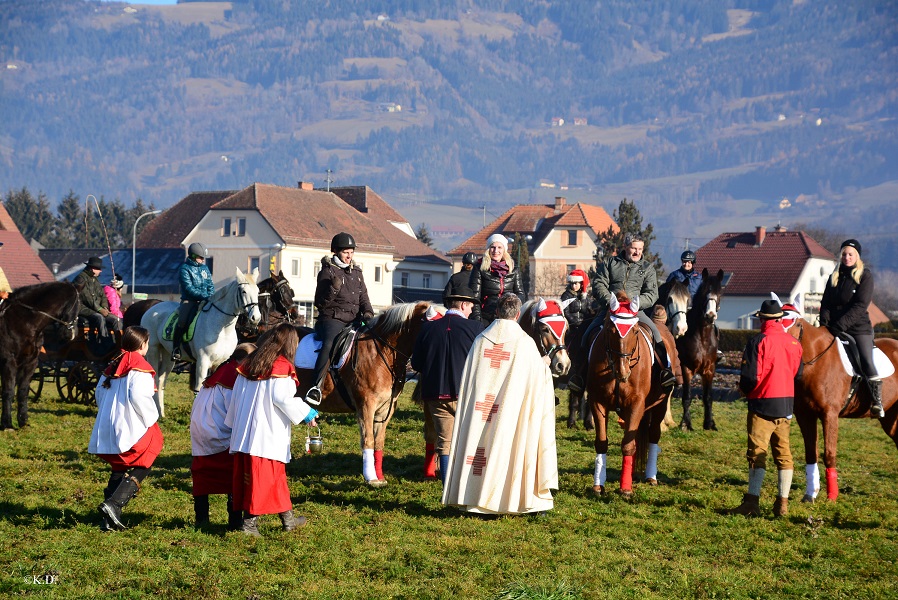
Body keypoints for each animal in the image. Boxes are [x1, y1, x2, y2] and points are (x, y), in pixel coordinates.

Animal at [140, 268, 260, 418]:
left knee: (161, 379)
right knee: (155, 378)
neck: (222, 329)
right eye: (243, 291)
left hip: (168, 356)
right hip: (153, 351)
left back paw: (161, 412)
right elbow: (199, 388)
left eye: (257, 291)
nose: (256, 318)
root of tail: (151, 309)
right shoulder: (203, 361)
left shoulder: (220, 363)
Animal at [294, 302, 430, 486]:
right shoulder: (366, 404)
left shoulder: (385, 408)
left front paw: (379, 476)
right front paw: (371, 477)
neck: (383, 352)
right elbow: (368, 439)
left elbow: (379, 441)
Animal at [584, 292, 668, 496]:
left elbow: (628, 445)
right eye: (610, 330)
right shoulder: (597, 402)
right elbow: (602, 442)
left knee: (654, 434)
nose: (623, 371)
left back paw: (651, 477)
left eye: (635, 331)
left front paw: (625, 488)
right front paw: (598, 485)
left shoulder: (636, 404)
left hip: (661, 404)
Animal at [672, 268, 720, 432]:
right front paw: (685, 424)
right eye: (704, 292)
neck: (702, 338)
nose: (710, 316)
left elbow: (708, 397)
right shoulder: (686, 368)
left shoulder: (710, 369)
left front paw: (709, 423)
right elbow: (686, 397)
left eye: (720, 293)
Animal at [788, 318, 892, 502]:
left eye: (793, 323)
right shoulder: (805, 415)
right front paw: (810, 494)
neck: (815, 360)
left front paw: (832, 495)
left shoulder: (829, 415)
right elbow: (811, 453)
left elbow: (829, 454)